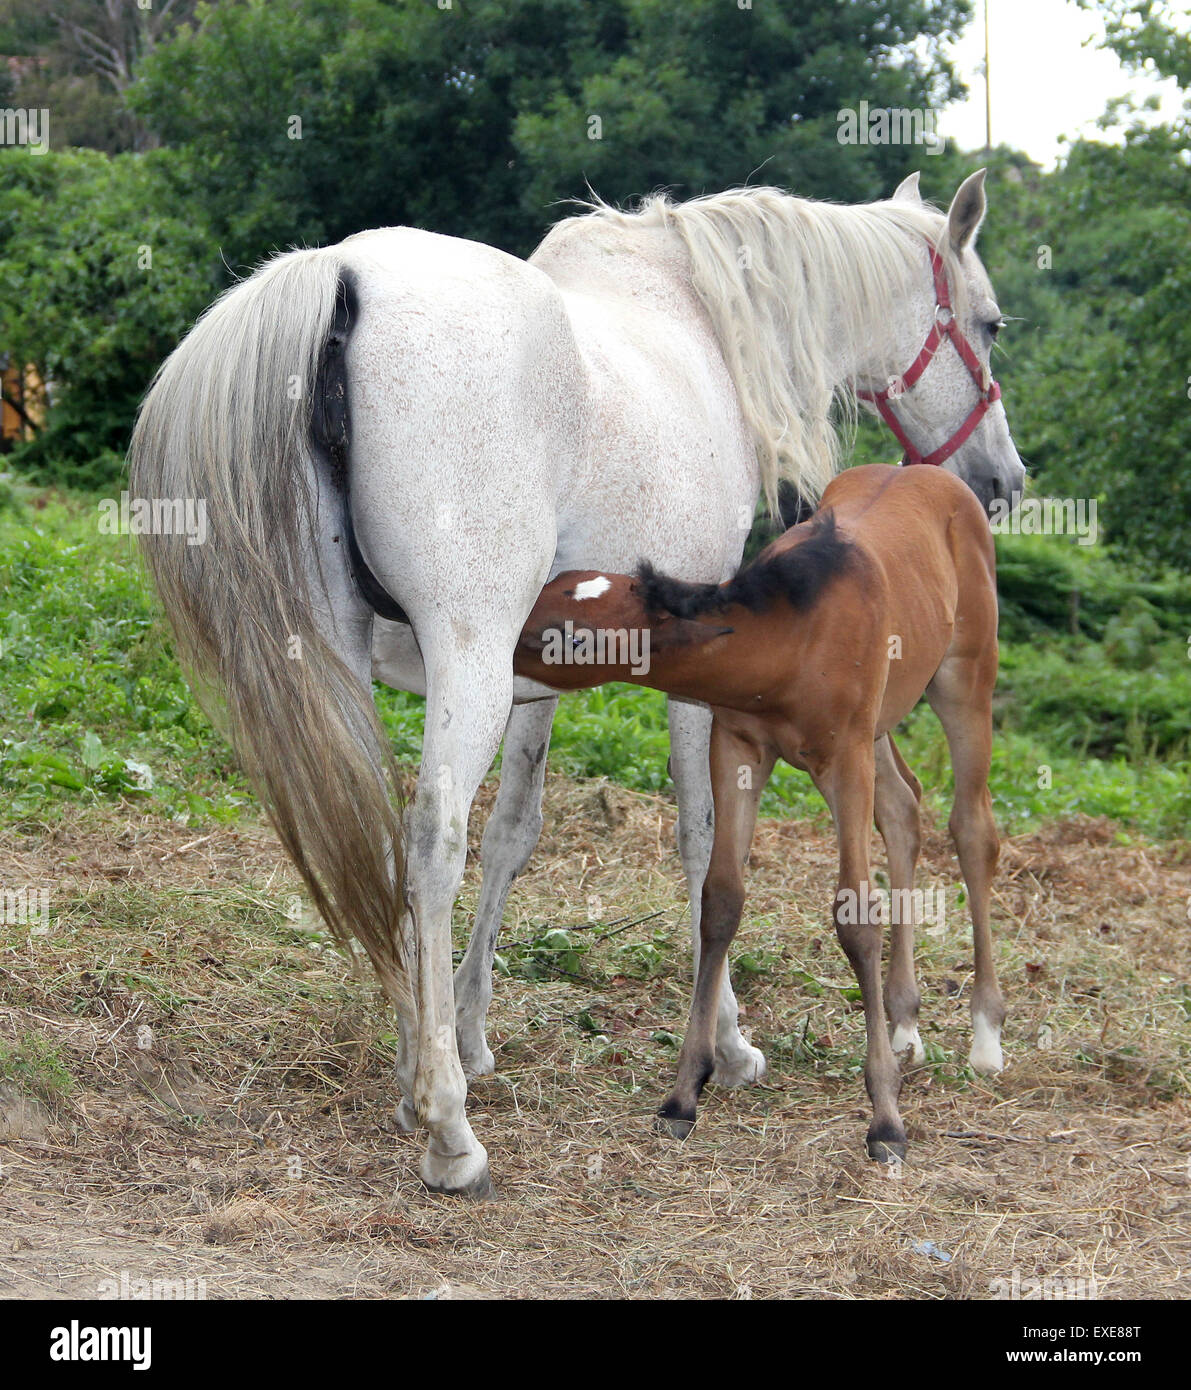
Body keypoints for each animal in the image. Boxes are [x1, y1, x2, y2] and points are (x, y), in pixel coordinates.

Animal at [516, 464, 1006, 1162]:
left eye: (575, 637)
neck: (794, 637)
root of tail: (926, 470)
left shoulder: (844, 761)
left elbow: (855, 916)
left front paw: (886, 1121)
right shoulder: (739, 746)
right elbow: (720, 898)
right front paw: (684, 1095)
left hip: (964, 679)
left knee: (972, 829)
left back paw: (986, 1036)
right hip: (884, 720)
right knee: (904, 811)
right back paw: (906, 1023)